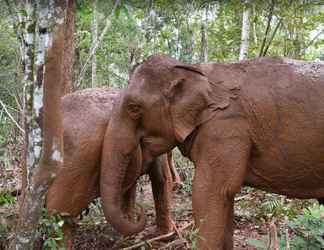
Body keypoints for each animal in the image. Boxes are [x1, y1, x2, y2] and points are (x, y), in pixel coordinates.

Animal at [98, 55, 324, 250]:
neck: (195, 70)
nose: (139, 213)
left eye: (133, 108)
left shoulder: (226, 127)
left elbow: (207, 191)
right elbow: (225, 197)